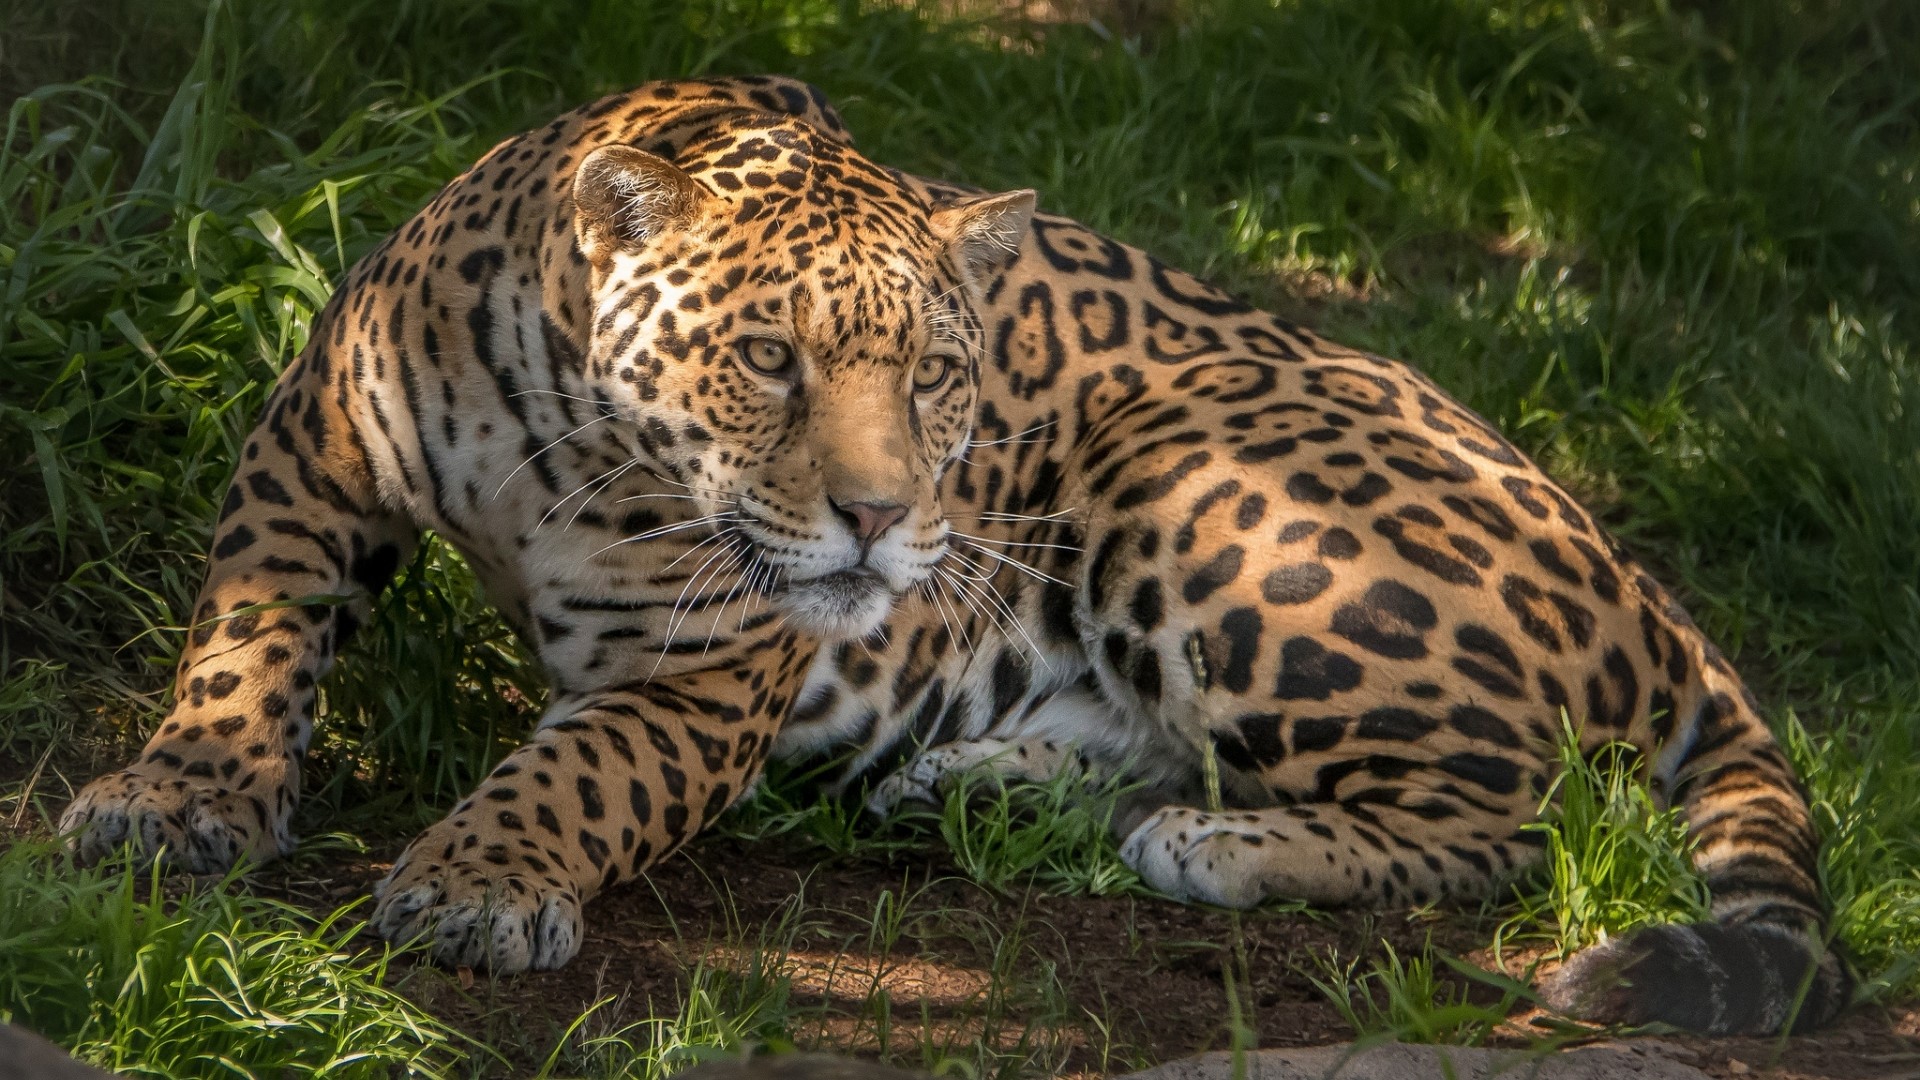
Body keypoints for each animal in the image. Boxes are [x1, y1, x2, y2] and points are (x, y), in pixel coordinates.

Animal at [58, 76, 1849, 1036]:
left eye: (933, 372)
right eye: (767, 357)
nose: (881, 517)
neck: (568, 453)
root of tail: (1642, 585)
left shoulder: (699, 672)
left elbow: (580, 775)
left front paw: (482, 883)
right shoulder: (310, 445)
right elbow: (245, 641)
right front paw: (177, 797)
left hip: (1195, 468)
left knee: (1507, 816)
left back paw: (1214, 846)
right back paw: (970, 783)